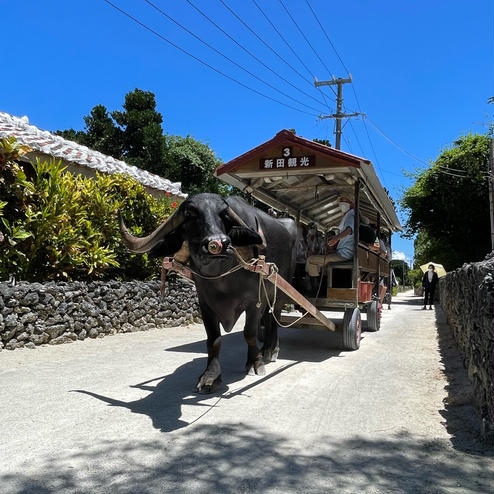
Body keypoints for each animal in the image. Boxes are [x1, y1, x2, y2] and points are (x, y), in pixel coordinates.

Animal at [118, 193, 298, 394]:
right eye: (190, 213)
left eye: (225, 214)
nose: (220, 243)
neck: (223, 279)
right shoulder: (205, 304)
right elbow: (213, 340)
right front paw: (211, 376)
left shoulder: (253, 301)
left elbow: (249, 333)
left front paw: (255, 363)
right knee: (268, 317)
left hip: (280, 290)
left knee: (275, 318)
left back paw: (270, 350)